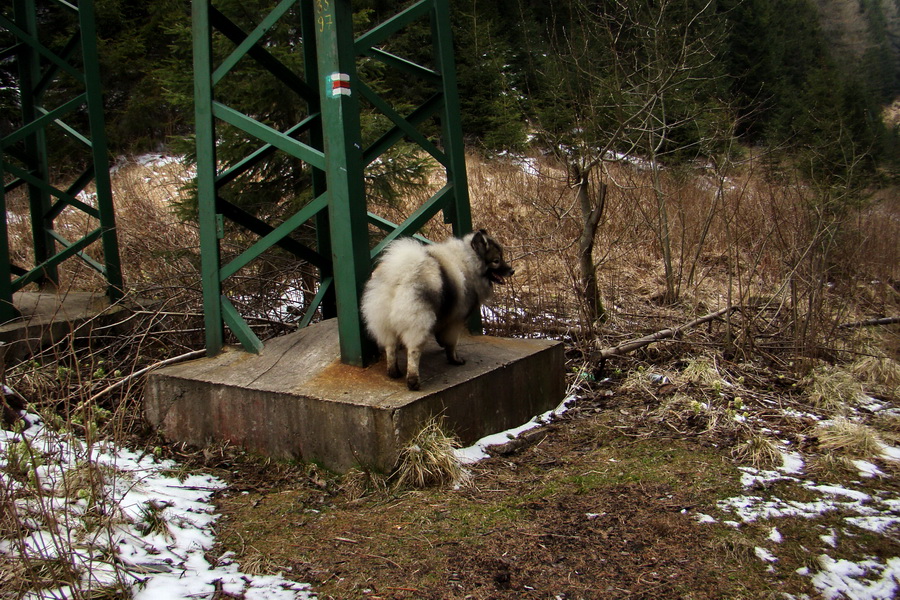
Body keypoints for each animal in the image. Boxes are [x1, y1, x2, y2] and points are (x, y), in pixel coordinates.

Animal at [360, 229, 512, 390]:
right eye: (496, 260)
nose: (512, 271)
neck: (468, 261)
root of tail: (401, 274)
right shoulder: (456, 321)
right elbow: (452, 343)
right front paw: (454, 359)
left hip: (384, 323)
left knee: (390, 347)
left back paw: (393, 372)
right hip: (418, 322)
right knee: (413, 352)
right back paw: (413, 381)